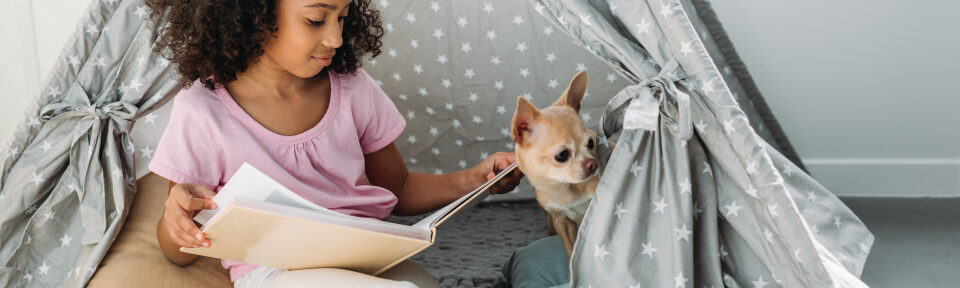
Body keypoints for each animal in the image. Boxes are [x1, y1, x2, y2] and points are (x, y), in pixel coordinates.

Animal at [510, 71, 600, 260]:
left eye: (591, 142)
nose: (593, 164)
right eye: (562, 155)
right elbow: (570, 250)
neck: (563, 187)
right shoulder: (560, 221)